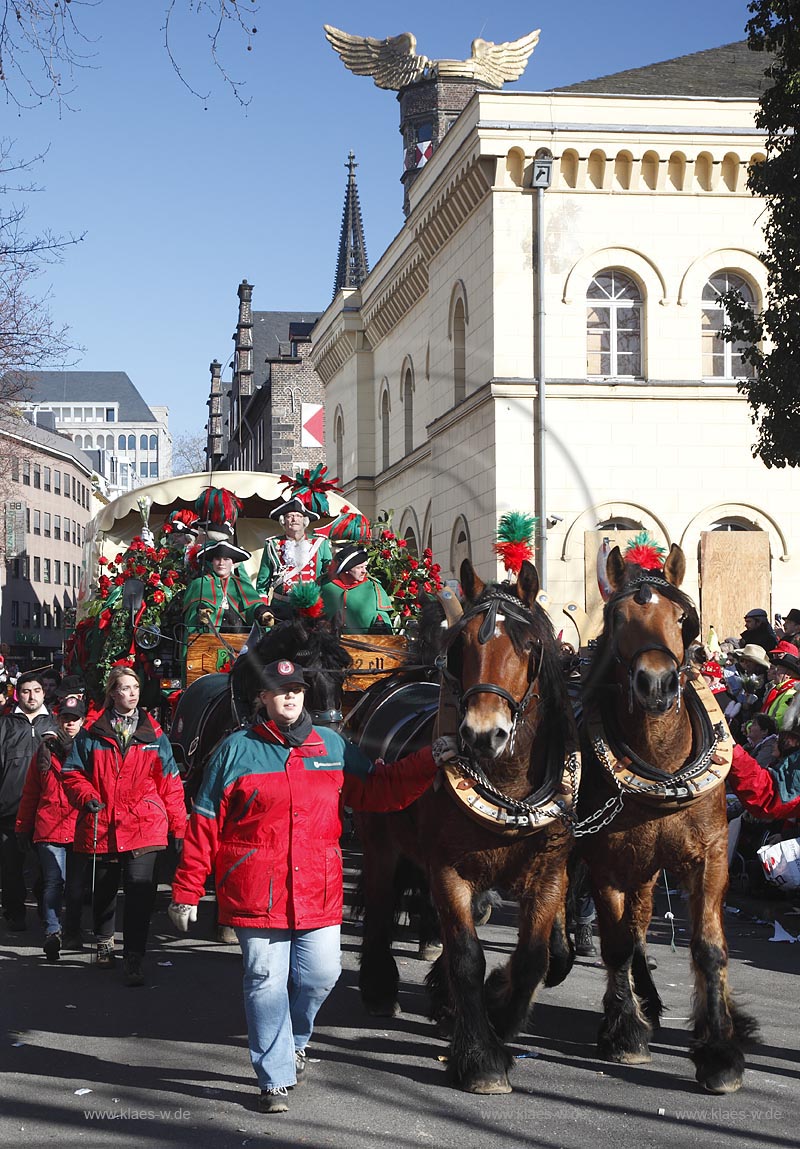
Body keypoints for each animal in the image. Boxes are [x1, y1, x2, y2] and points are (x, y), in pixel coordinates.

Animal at [349, 558, 574, 1093]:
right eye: (462, 645)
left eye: (529, 645)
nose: (482, 733)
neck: (510, 791)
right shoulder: (449, 869)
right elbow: (468, 956)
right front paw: (481, 1059)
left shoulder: (550, 871)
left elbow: (534, 957)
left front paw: (501, 1017)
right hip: (379, 842)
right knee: (383, 902)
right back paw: (379, 987)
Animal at [581, 542, 754, 1089]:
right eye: (618, 618)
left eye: (681, 618)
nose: (655, 684)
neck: (661, 763)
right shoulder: (606, 861)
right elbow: (617, 942)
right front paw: (624, 1032)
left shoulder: (711, 856)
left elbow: (709, 947)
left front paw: (720, 1049)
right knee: (630, 930)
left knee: (640, 924)